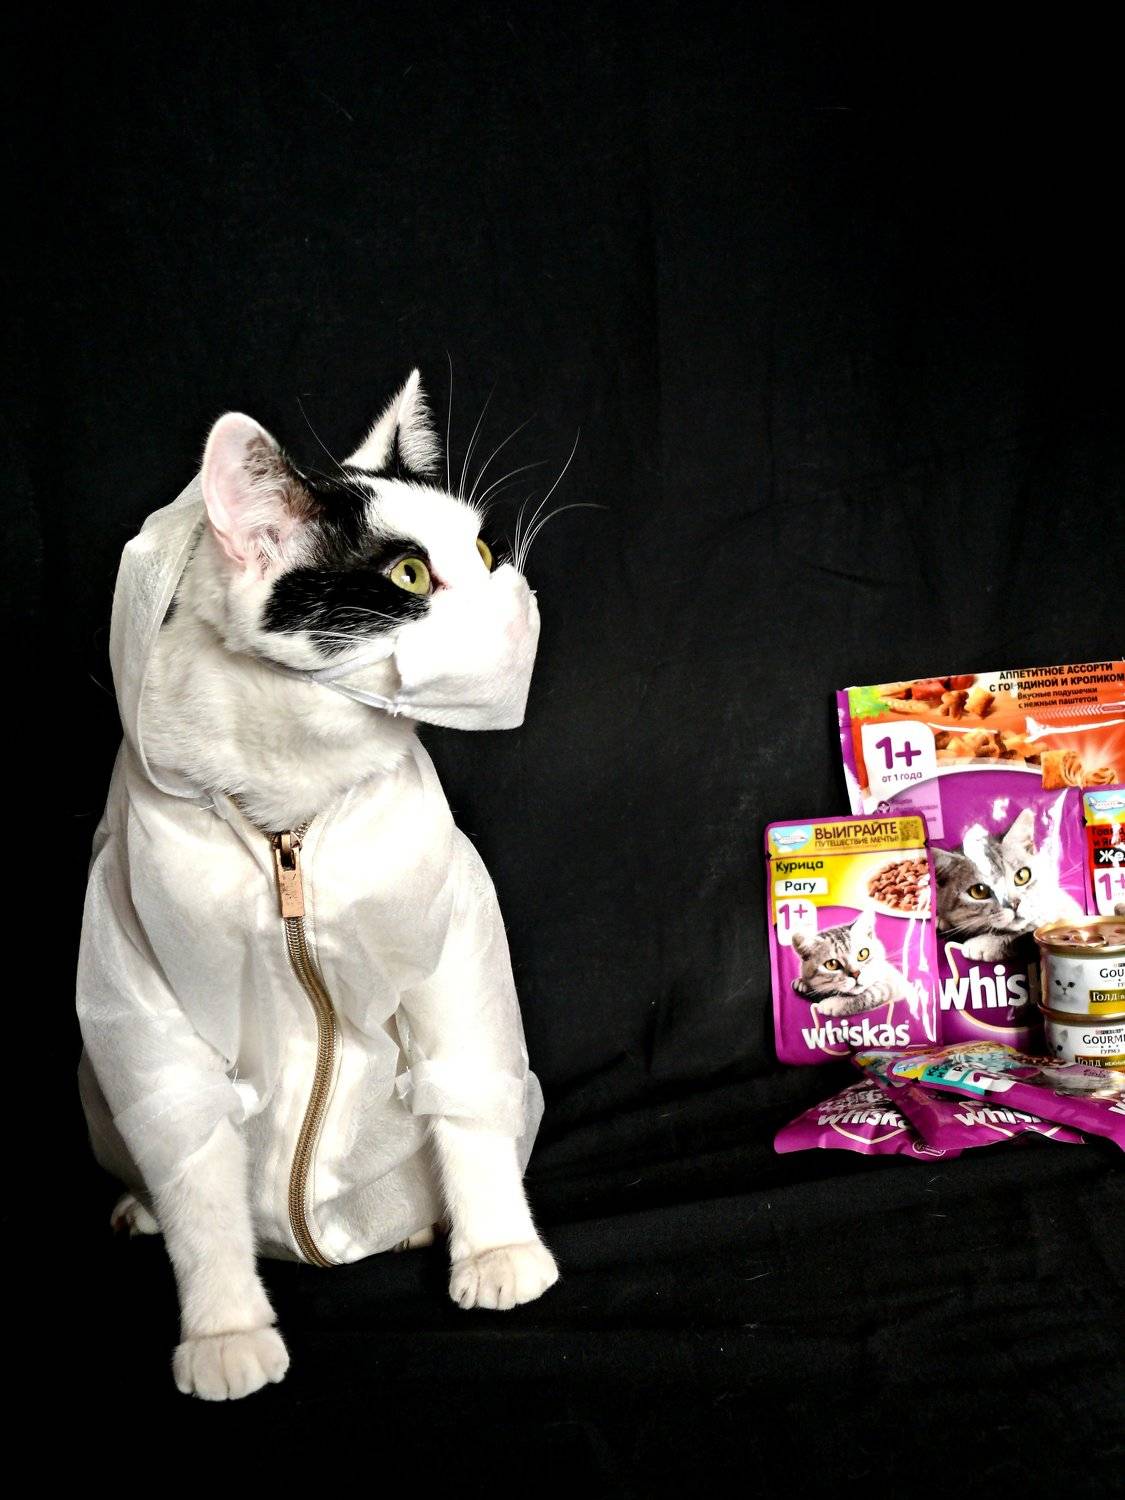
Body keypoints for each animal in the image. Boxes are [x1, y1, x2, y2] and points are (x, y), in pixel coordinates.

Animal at [76, 372, 558, 1401]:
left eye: (483, 548)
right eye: (408, 576)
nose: (506, 595)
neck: (290, 816)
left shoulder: (451, 941)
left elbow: (469, 1092)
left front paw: (496, 1249)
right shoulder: (138, 980)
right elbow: (195, 1168)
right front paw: (223, 1330)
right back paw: (140, 1209)